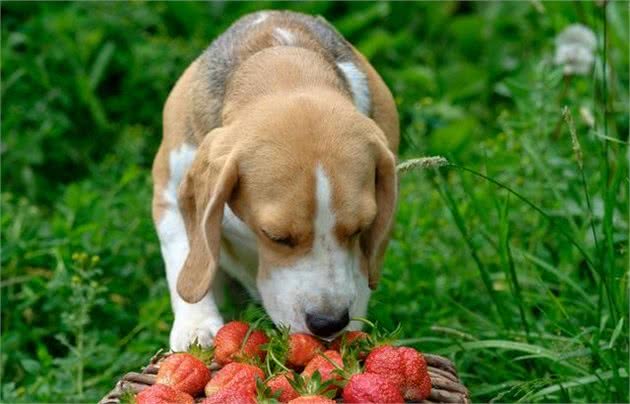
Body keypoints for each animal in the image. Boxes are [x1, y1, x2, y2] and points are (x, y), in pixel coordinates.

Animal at [152, 9, 400, 350]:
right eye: (276, 237)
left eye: (360, 229)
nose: (328, 322)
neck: (284, 66)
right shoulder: (169, 191)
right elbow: (184, 252)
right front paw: (196, 326)